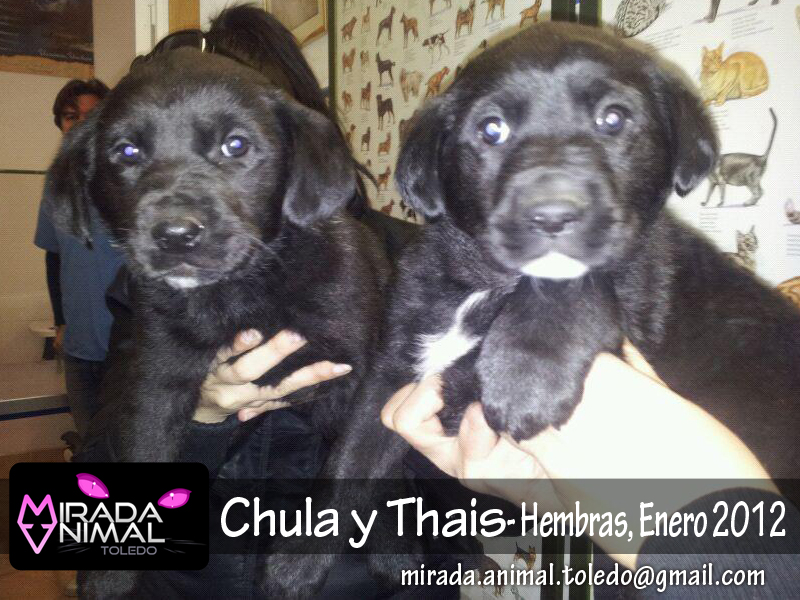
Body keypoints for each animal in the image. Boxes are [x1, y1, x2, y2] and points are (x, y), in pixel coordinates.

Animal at [43, 50, 389, 594]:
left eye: (236, 145)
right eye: (126, 152)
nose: (175, 235)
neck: (242, 292)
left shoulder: (364, 381)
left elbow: (349, 470)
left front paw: (296, 567)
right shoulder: (158, 379)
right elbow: (142, 455)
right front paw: (111, 574)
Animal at [263, 21, 800, 597]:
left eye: (613, 119)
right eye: (491, 130)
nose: (553, 215)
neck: (481, 283)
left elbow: (570, 288)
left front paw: (526, 373)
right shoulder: (395, 366)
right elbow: (350, 458)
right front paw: (296, 561)